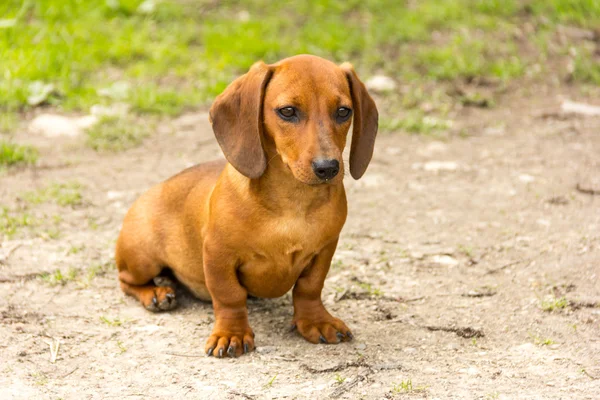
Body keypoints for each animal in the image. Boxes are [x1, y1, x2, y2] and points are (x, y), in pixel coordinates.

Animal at [115, 54, 378, 358]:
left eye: (344, 111)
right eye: (288, 111)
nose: (328, 168)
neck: (293, 201)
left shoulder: (324, 250)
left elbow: (309, 288)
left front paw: (315, 320)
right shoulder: (218, 255)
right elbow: (229, 296)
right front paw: (232, 333)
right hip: (142, 259)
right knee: (126, 280)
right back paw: (156, 294)